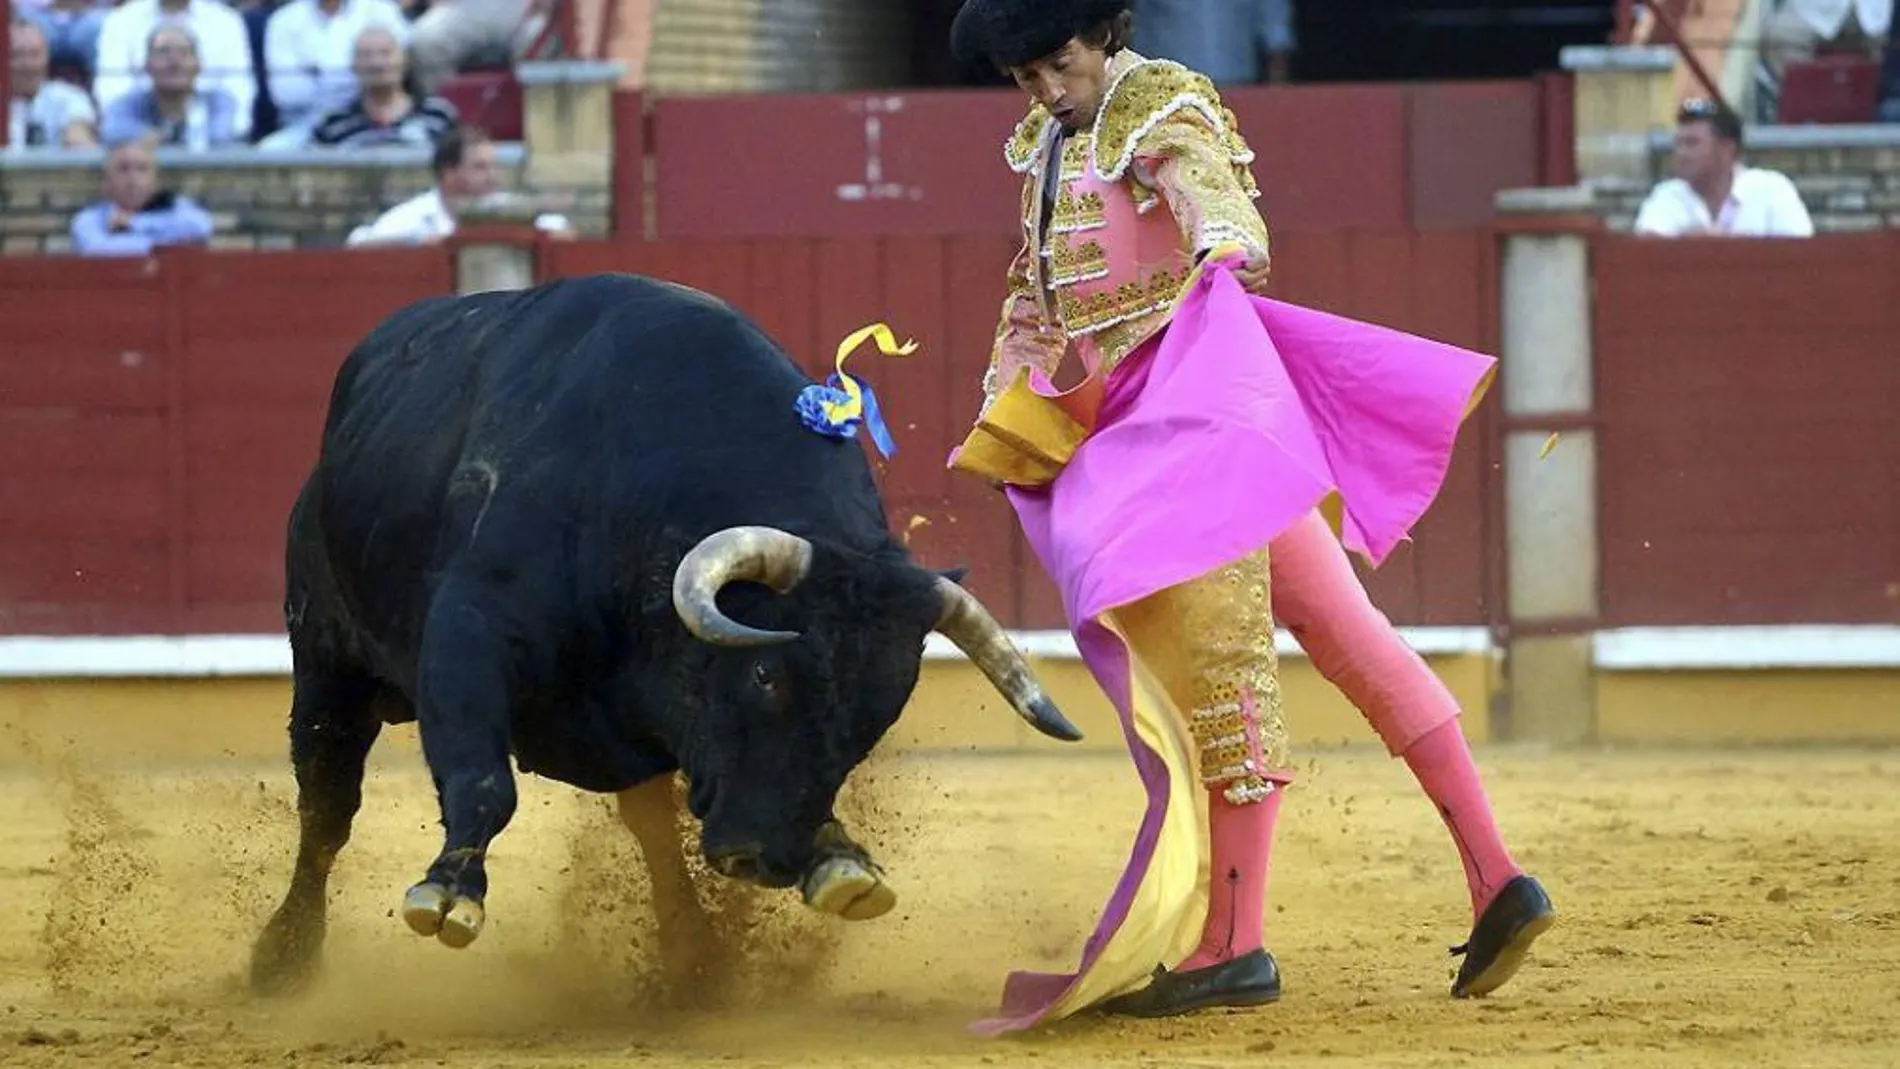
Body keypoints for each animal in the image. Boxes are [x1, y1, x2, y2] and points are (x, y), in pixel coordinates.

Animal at [248, 273, 1086, 994]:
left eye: (877, 715)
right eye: (766, 675)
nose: (768, 857)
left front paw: (839, 858)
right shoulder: (470, 632)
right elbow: (482, 778)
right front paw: (449, 892)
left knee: (648, 823)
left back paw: (691, 954)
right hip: (325, 661)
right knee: (325, 807)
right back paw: (282, 959)